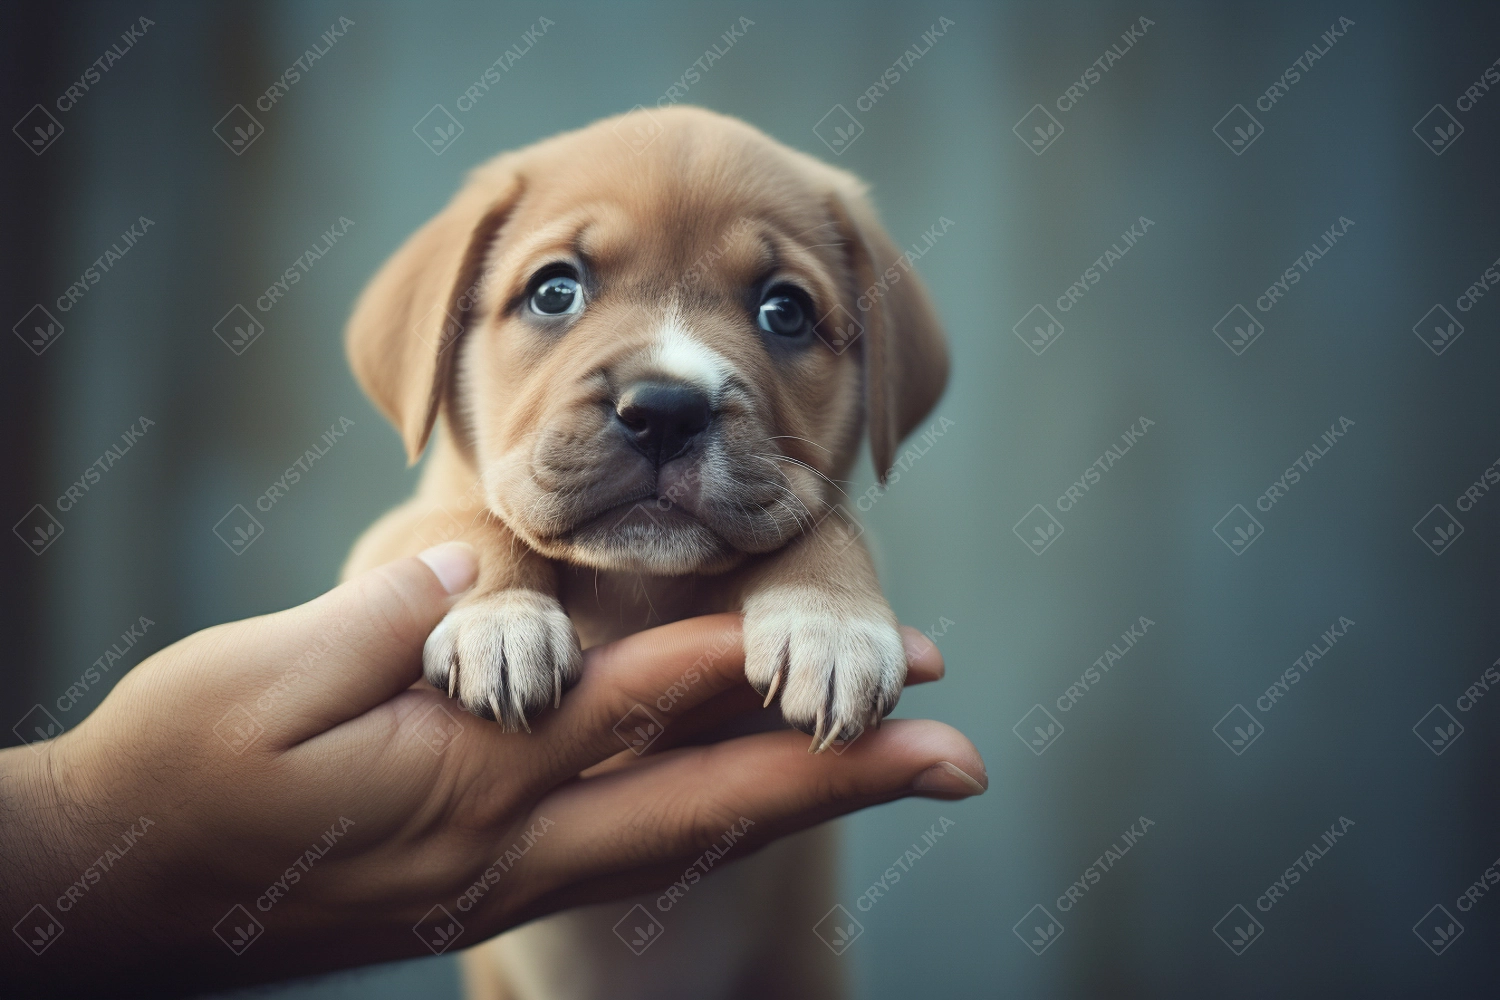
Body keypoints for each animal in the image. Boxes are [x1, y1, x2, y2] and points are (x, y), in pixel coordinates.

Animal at [345, 105, 942, 995]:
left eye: (786, 311)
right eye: (555, 291)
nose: (664, 410)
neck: (633, 586)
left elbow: (820, 522)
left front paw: (829, 625)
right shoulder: (379, 545)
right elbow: (468, 519)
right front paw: (500, 619)